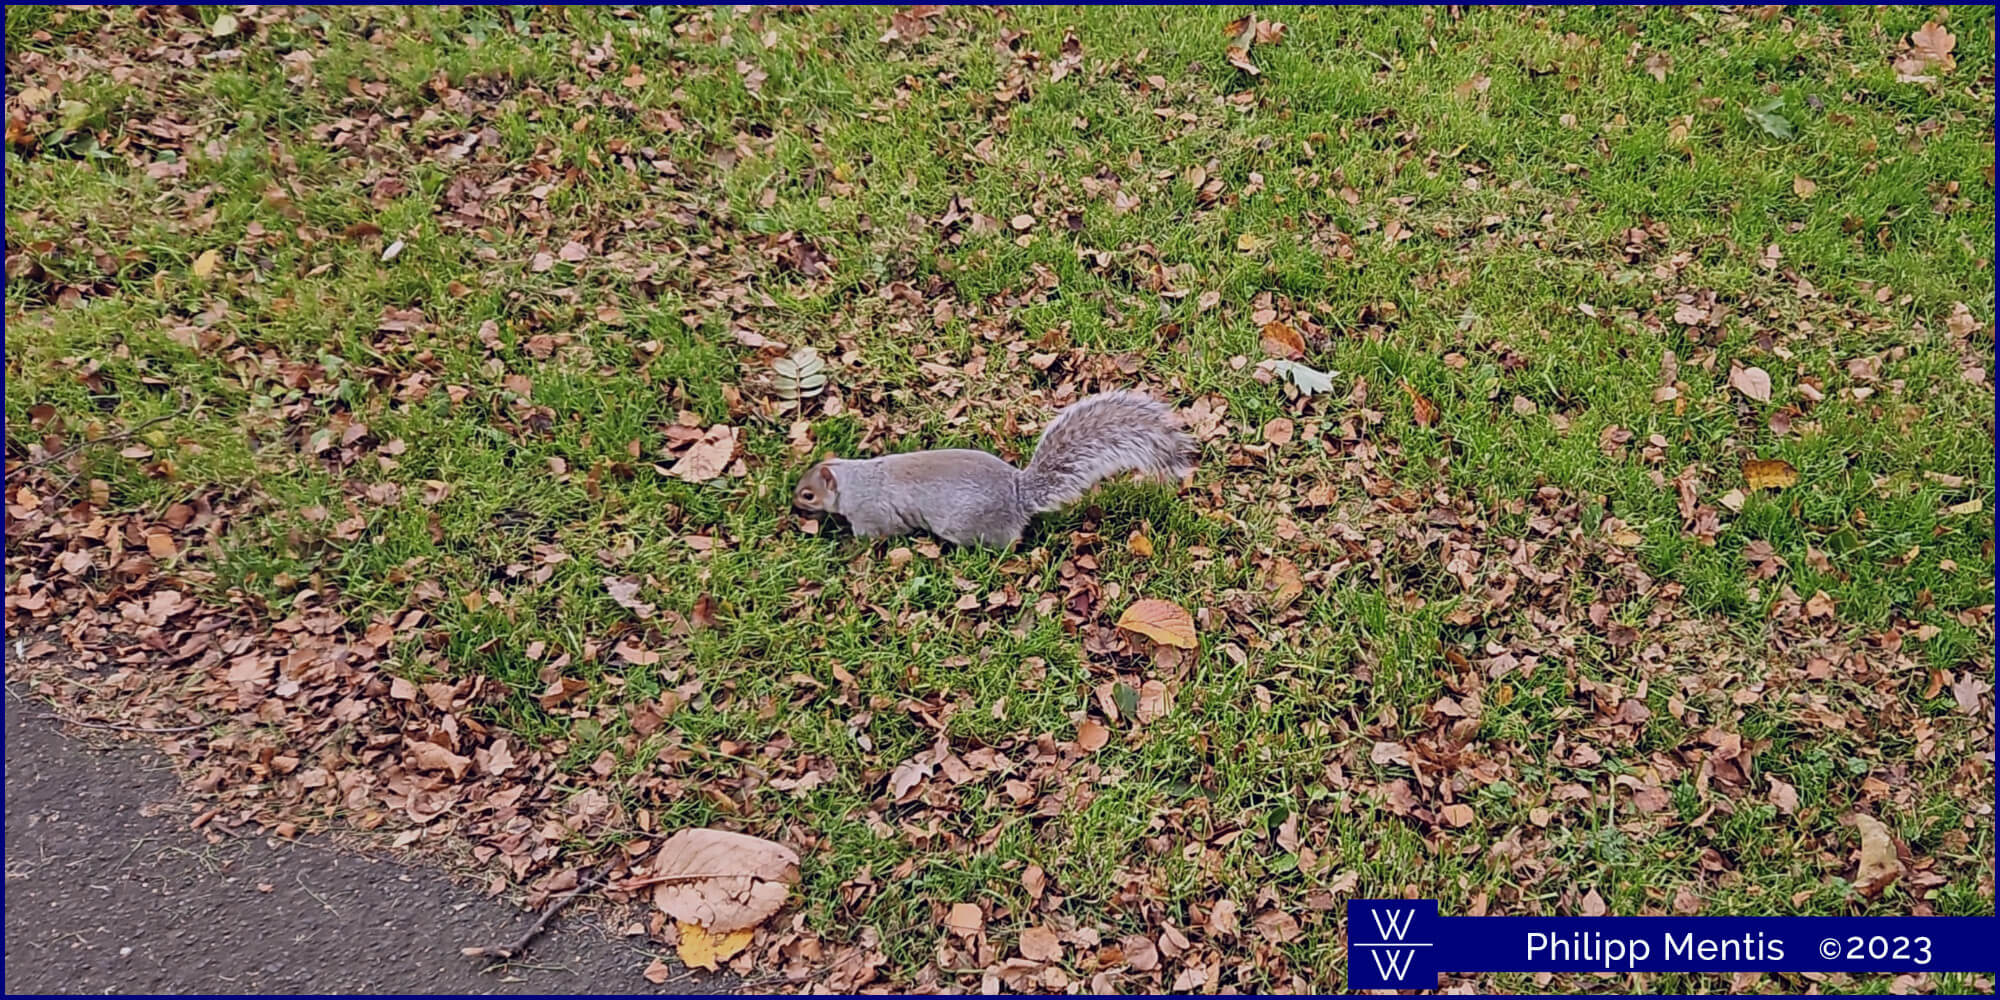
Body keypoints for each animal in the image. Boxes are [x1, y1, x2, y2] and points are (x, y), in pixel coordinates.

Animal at [788, 390, 1192, 548]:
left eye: (808, 493)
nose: (793, 503)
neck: (853, 481)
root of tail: (1018, 496)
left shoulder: (872, 516)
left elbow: (871, 535)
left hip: (970, 527)